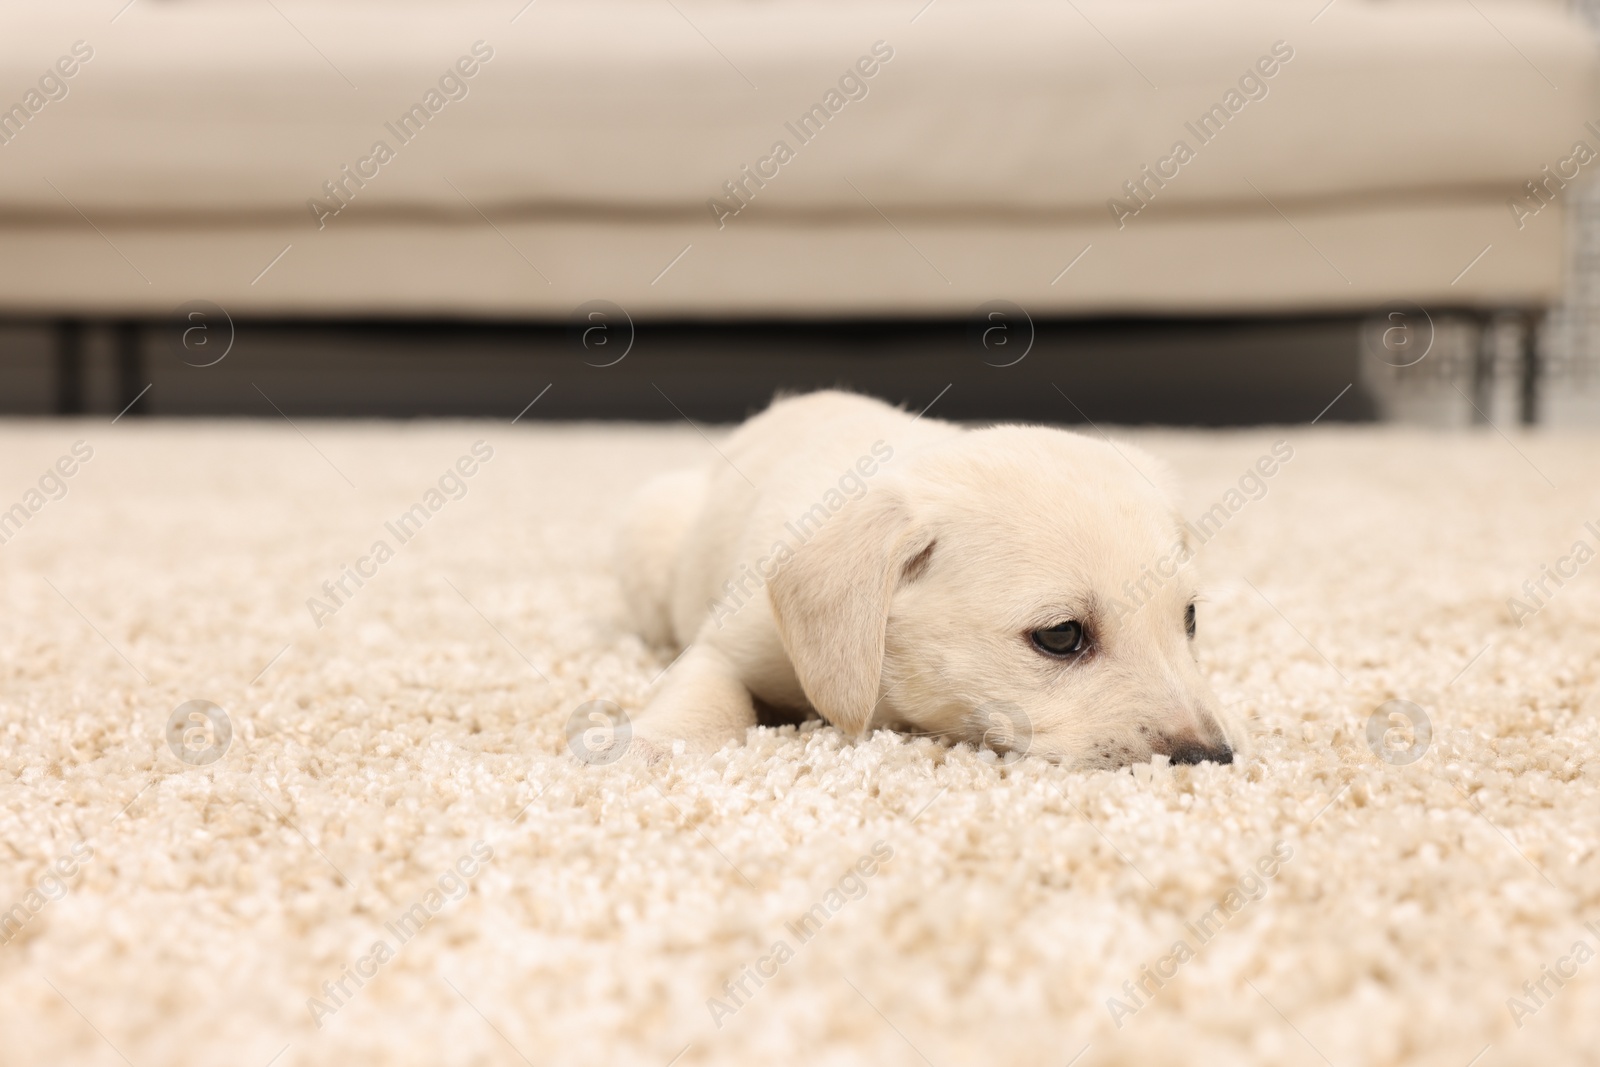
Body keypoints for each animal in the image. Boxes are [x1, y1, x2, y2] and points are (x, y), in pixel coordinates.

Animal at [617, 390, 1241, 767]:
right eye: (1061, 635)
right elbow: (710, 694)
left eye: (1189, 618)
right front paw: (651, 748)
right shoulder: (730, 644)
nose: (1211, 759)